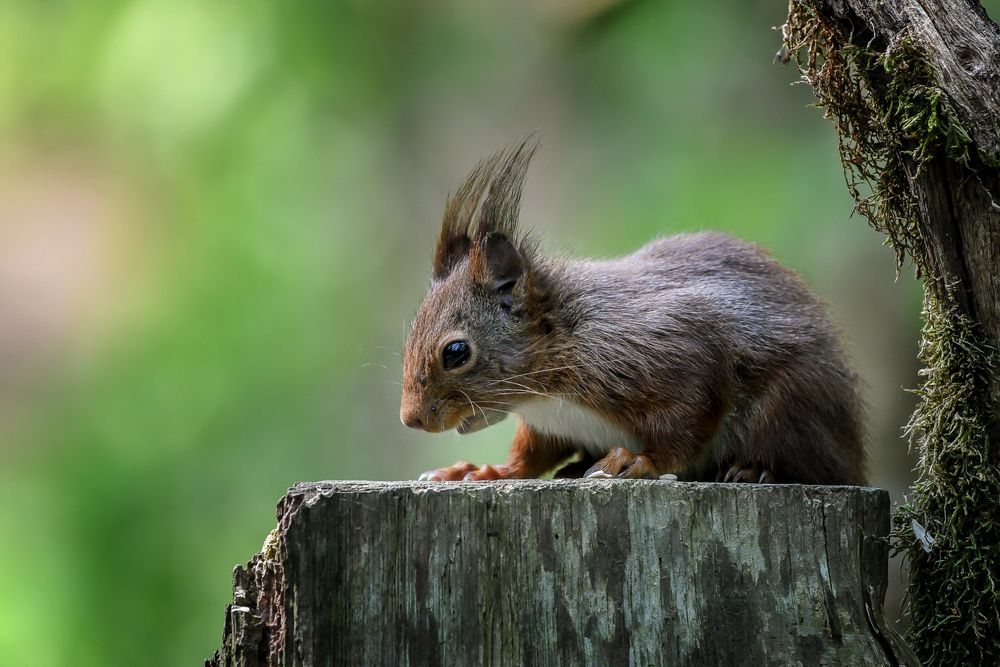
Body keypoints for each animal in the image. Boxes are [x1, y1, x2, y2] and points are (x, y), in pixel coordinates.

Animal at [398, 140, 868, 486]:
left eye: (456, 353)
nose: (411, 419)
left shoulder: (670, 350)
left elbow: (687, 420)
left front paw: (641, 462)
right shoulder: (549, 424)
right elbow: (532, 454)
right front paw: (486, 470)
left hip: (792, 406)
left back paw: (756, 469)